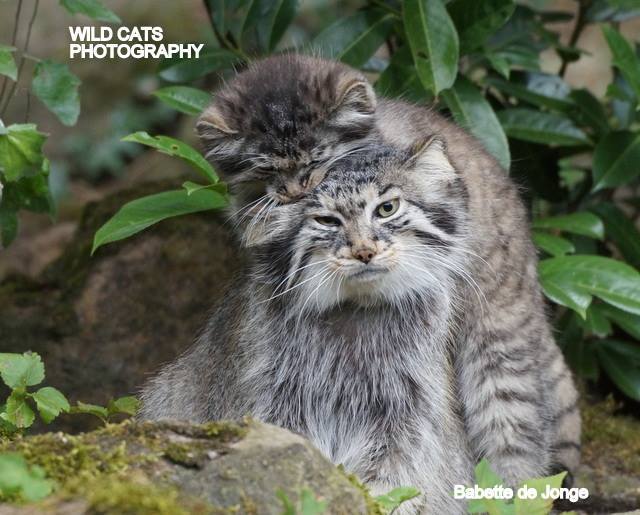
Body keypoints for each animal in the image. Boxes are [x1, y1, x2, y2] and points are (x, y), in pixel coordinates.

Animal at [140, 140, 476, 512]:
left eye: (387, 208)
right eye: (326, 220)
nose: (364, 251)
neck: (355, 312)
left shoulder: (407, 412)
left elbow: (397, 478)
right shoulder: (274, 401)